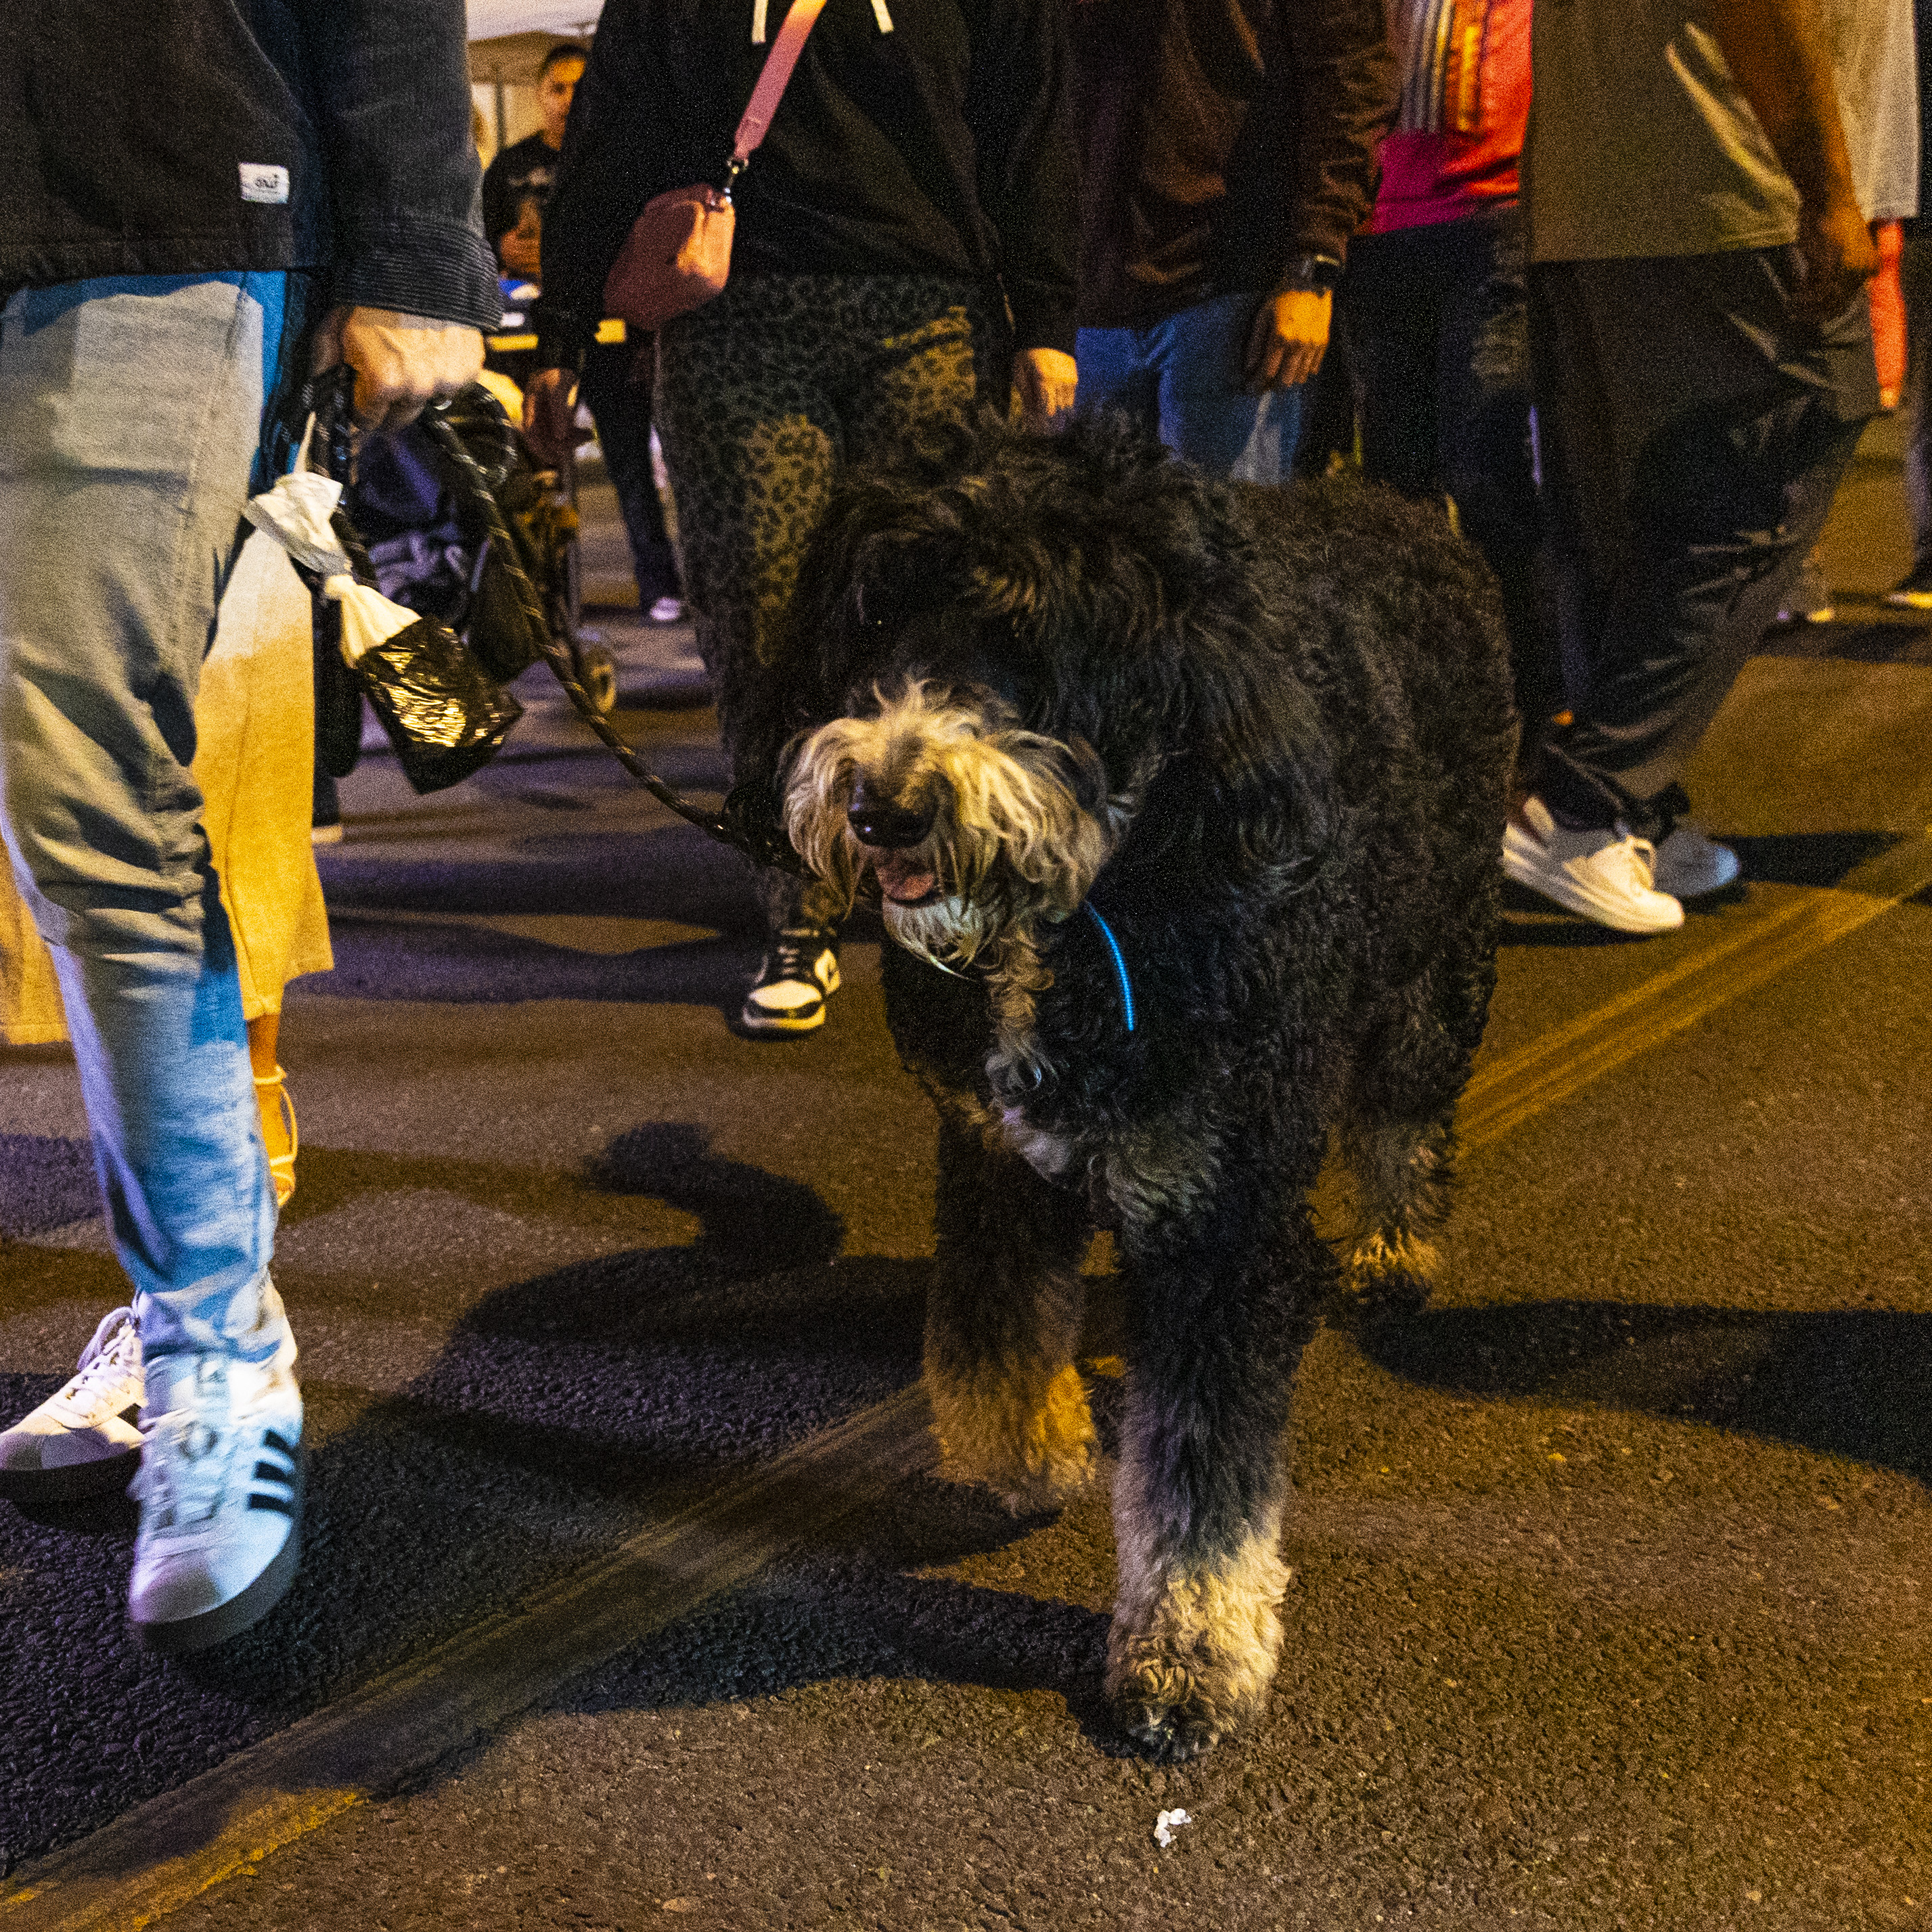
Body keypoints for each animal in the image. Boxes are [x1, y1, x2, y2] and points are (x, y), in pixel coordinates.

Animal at [757, 417, 1517, 1758]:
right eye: (876, 618)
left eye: (1029, 641)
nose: (883, 804)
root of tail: (1394, 502)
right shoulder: (991, 1145)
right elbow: (993, 1322)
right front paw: (1027, 1450)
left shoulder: (1226, 1213)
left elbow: (1202, 1479)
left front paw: (1188, 1654)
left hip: (1436, 959)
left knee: (1404, 1116)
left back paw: (1394, 1245)